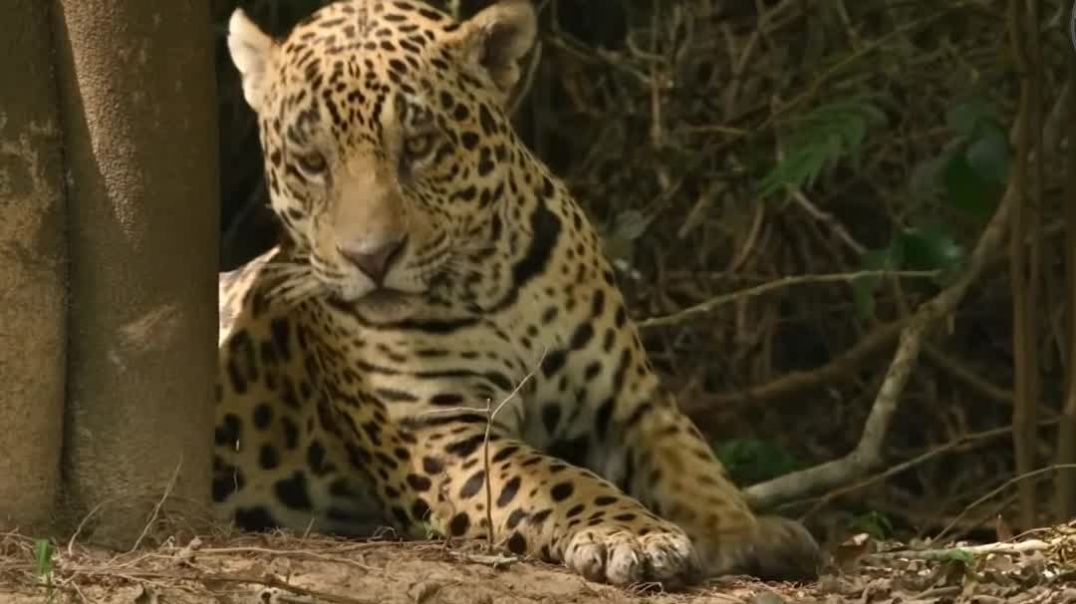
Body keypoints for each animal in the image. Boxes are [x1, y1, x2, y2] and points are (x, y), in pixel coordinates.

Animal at [216, 0, 821, 586]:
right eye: (311, 163)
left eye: (420, 146)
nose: (372, 257)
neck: (487, 287)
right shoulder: (440, 433)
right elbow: (555, 479)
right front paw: (629, 534)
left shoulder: (631, 400)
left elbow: (696, 467)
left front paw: (749, 531)